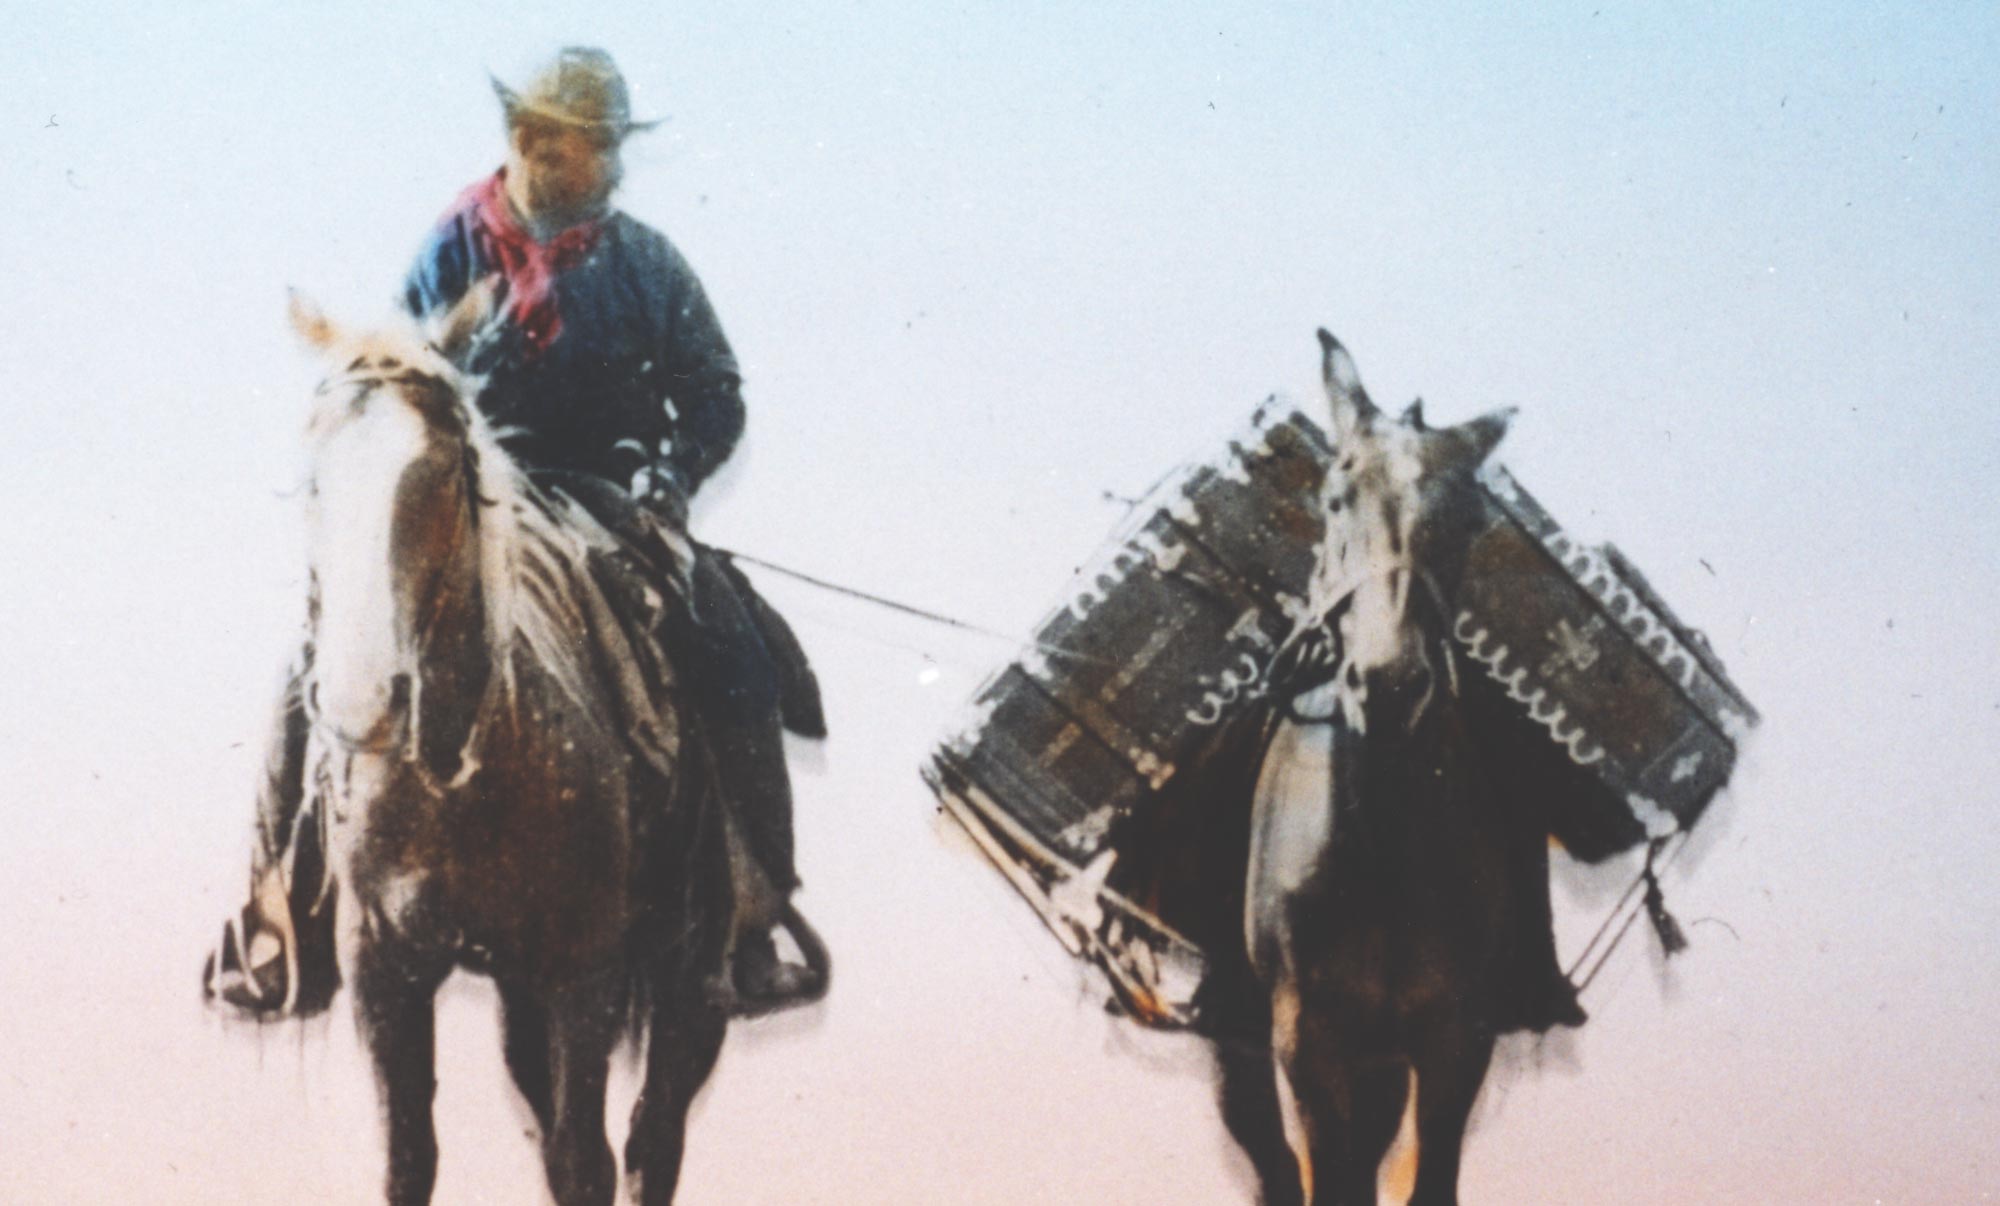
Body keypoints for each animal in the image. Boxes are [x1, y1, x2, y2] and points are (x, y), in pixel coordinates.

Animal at [1216, 332, 1528, 1206]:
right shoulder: (1308, 1037)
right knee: (1274, 1164)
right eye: (1334, 499)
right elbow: (1327, 1179)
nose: (1387, 683)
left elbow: (1431, 1181)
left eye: (1468, 519)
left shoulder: (1456, 1036)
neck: (1380, 844)